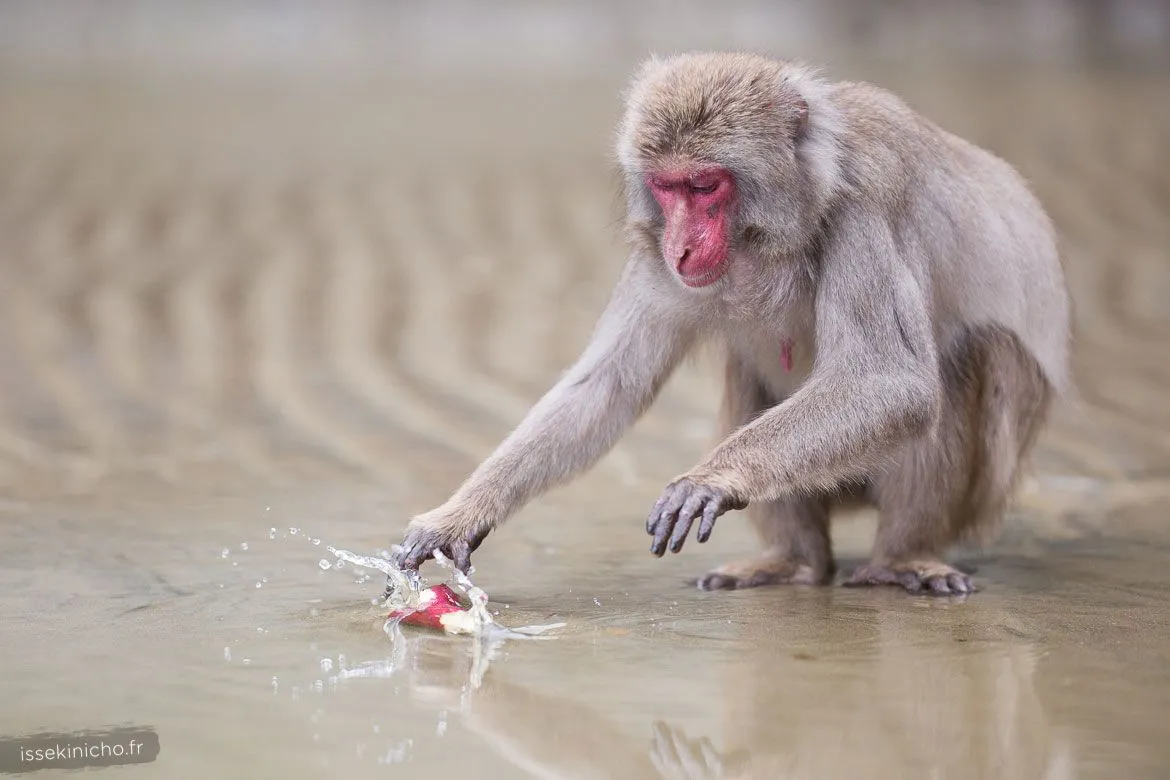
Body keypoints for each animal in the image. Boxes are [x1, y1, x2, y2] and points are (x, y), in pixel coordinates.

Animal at [391, 52, 1071, 596]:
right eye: (666, 188)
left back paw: (903, 556)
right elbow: (605, 388)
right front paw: (462, 514)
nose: (683, 248)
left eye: (704, 185)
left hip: (986, 489)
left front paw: (712, 477)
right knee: (750, 375)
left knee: (967, 358)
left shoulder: (868, 207)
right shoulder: (653, 254)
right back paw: (796, 562)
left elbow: (891, 381)